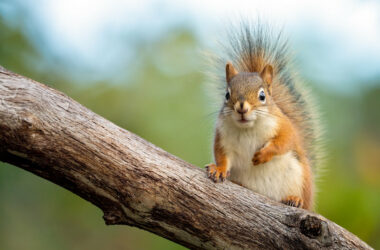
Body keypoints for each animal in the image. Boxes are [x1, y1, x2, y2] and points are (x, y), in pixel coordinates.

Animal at [206, 23, 322, 211]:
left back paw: (294, 199)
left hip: (301, 179)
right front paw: (219, 169)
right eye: (227, 95)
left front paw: (264, 154)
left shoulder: (284, 125)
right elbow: (222, 156)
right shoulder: (222, 137)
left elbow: (284, 141)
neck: (248, 128)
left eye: (262, 96)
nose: (242, 108)